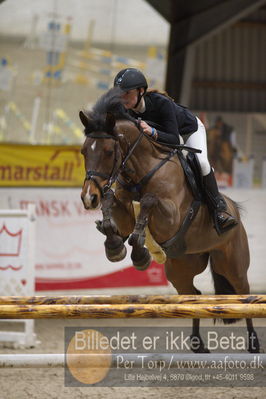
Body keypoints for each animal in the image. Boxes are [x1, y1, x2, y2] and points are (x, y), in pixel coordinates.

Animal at [79, 87, 260, 354]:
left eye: (109, 152)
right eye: (84, 151)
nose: (89, 197)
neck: (141, 170)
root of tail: (233, 209)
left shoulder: (172, 217)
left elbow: (149, 201)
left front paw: (139, 252)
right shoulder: (123, 208)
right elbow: (112, 203)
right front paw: (114, 245)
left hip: (232, 264)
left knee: (244, 295)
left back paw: (254, 343)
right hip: (181, 267)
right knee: (193, 295)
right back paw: (197, 344)